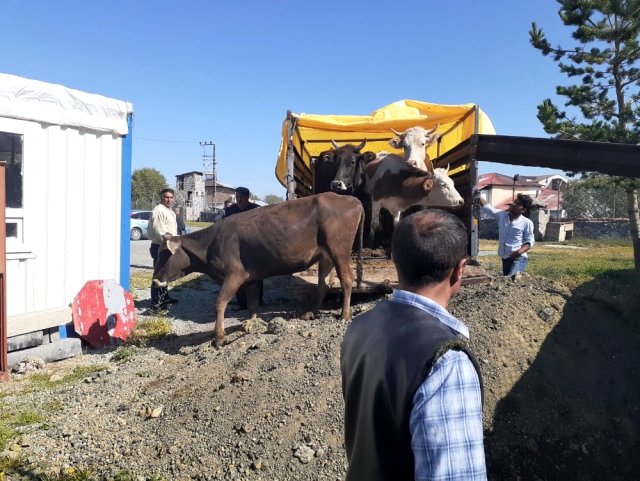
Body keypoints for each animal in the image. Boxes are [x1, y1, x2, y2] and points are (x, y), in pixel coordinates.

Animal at [151, 193, 368, 346]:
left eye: (164, 253)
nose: (155, 280)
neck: (212, 243)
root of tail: (350, 198)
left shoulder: (235, 274)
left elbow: (220, 303)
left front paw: (219, 337)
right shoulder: (252, 276)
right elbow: (253, 301)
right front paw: (251, 322)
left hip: (339, 250)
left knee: (346, 279)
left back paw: (344, 314)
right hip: (325, 256)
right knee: (324, 283)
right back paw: (311, 311)